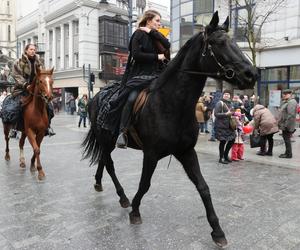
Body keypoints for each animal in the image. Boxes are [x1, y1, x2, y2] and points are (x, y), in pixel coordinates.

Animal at [82, 10, 255, 247]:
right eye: (219, 42)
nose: (251, 74)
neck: (172, 104)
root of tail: (96, 96)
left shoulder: (186, 151)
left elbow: (204, 187)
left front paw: (217, 230)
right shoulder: (151, 154)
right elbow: (145, 184)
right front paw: (135, 211)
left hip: (106, 141)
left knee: (103, 161)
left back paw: (101, 185)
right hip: (106, 138)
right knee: (109, 164)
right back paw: (123, 197)